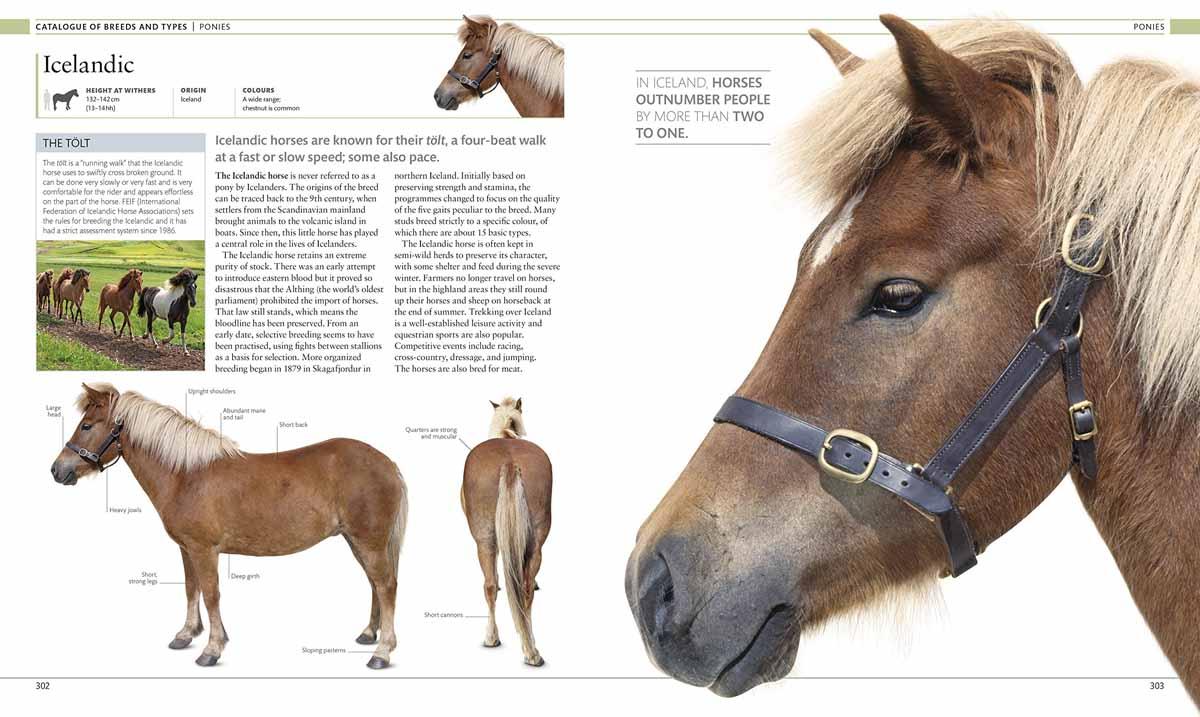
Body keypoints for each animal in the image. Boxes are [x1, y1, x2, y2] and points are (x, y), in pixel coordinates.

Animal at [50, 383, 409, 669]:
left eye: (86, 425)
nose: (57, 470)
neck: (185, 476)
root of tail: (388, 463)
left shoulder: (204, 550)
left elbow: (211, 594)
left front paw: (211, 649)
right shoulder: (187, 549)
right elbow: (191, 589)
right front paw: (185, 635)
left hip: (369, 541)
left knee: (386, 586)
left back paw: (381, 653)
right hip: (356, 541)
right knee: (375, 585)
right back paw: (368, 634)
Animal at [461, 397, 552, 666]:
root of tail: (510, 462)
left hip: (483, 540)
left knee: (491, 585)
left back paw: (493, 637)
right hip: (535, 542)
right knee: (523, 587)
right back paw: (531, 650)